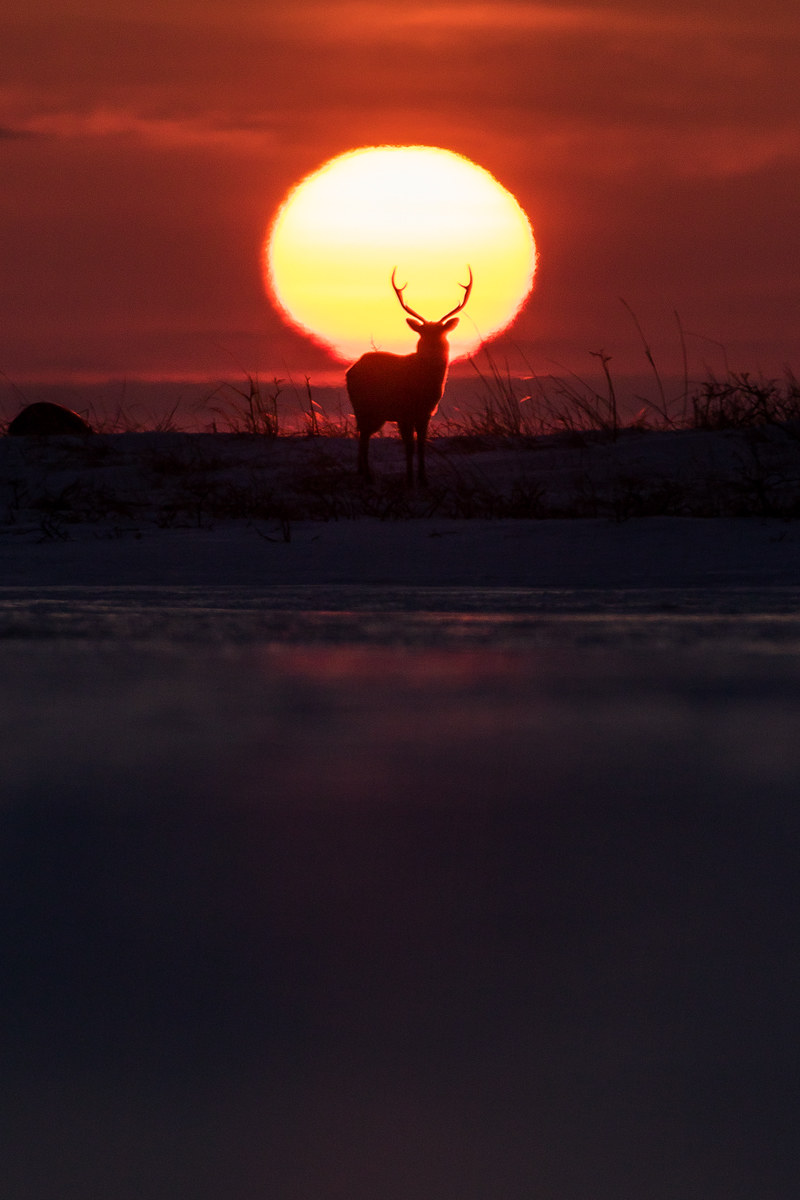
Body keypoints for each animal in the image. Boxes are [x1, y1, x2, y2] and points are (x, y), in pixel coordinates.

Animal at [345, 266, 473, 485]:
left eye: (441, 334)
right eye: (423, 334)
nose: (432, 348)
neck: (422, 388)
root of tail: (350, 370)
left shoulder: (426, 413)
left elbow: (421, 444)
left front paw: (423, 478)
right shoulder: (403, 411)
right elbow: (409, 446)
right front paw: (410, 479)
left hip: (373, 411)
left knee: (362, 433)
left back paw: (361, 470)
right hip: (365, 406)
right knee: (363, 435)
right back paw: (367, 475)